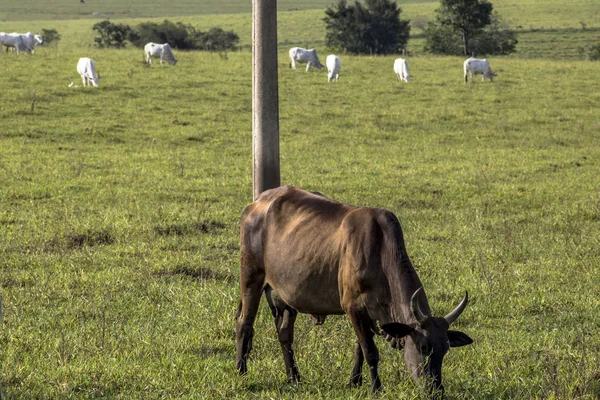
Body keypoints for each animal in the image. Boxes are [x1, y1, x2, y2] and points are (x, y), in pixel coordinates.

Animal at [236, 186, 474, 398]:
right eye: (423, 347)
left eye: (445, 349)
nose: (436, 391)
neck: (381, 250)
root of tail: (258, 202)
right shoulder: (354, 307)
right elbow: (370, 351)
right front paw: (376, 388)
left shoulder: (369, 313)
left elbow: (360, 347)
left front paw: (355, 381)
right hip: (251, 278)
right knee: (244, 323)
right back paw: (241, 372)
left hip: (283, 295)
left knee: (285, 334)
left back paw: (294, 377)